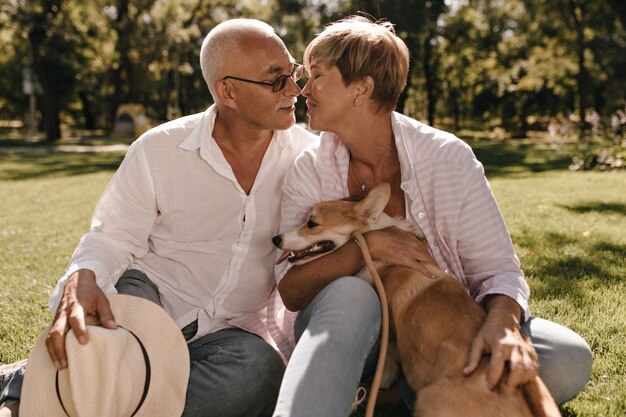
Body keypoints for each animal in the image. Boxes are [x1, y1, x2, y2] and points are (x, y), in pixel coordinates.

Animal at [270, 184, 560, 416]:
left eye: (312, 223)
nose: (275, 238)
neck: (380, 259)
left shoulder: (390, 329)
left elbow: (388, 357)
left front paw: (382, 381)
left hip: (428, 401)